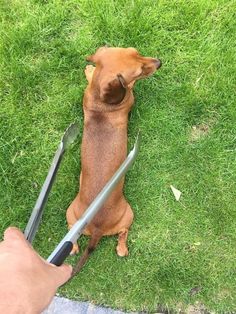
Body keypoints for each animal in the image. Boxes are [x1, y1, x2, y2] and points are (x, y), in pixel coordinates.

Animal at [67, 47, 161, 274]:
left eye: (135, 51)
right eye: (138, 71)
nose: (159, 62)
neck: (101, 102)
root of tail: (97, 228)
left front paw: (90, 70)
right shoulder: (130, 93)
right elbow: (129, 87)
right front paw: (90, 70)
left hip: (71, 213)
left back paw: (73, 246)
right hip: (129, 214)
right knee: (123, 234)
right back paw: (121, 248)